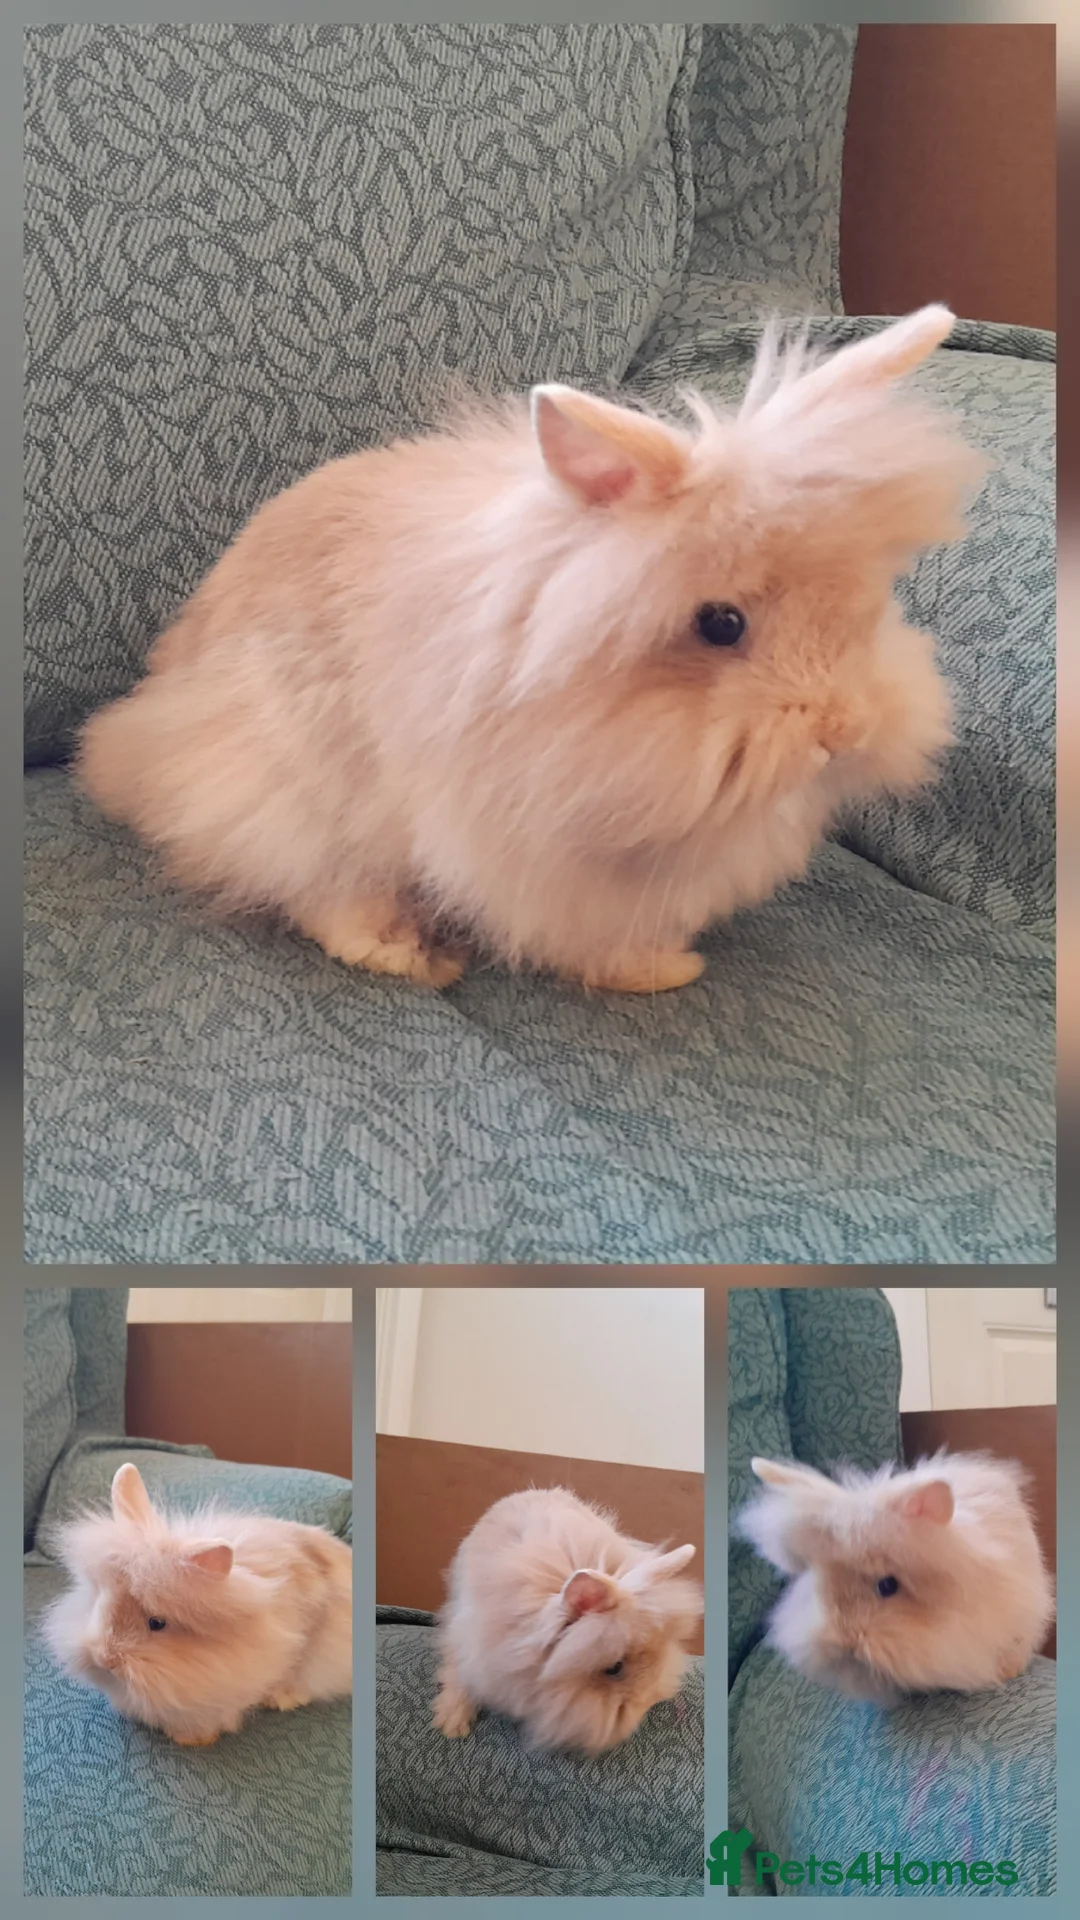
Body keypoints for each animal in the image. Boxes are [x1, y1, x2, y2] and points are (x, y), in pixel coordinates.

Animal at [76, 303, 987, 994]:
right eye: (722, 624)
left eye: (871, 599)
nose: (844, 732)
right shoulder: (536, 854)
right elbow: (586, 932)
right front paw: (663, 972)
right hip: (288, 783)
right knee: (317, 884)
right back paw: (401, 954)